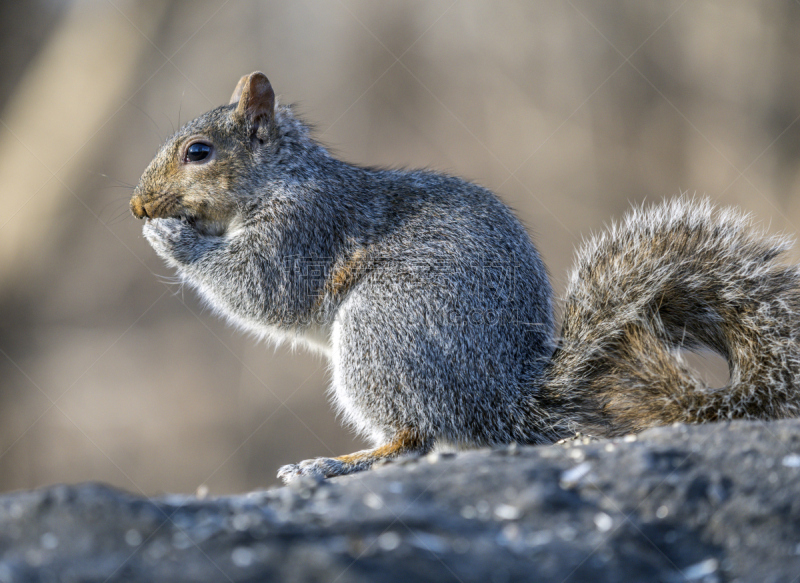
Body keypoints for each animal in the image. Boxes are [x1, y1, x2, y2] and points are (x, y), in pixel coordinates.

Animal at [130, 72, 800, 484]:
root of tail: (504, 401)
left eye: (198, 152)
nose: (138, 206)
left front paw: (171, 237)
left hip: (382, 330)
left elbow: (261, 287)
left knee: (413, 437)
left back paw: (335, 463)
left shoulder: (306, 228)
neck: (281, 179)